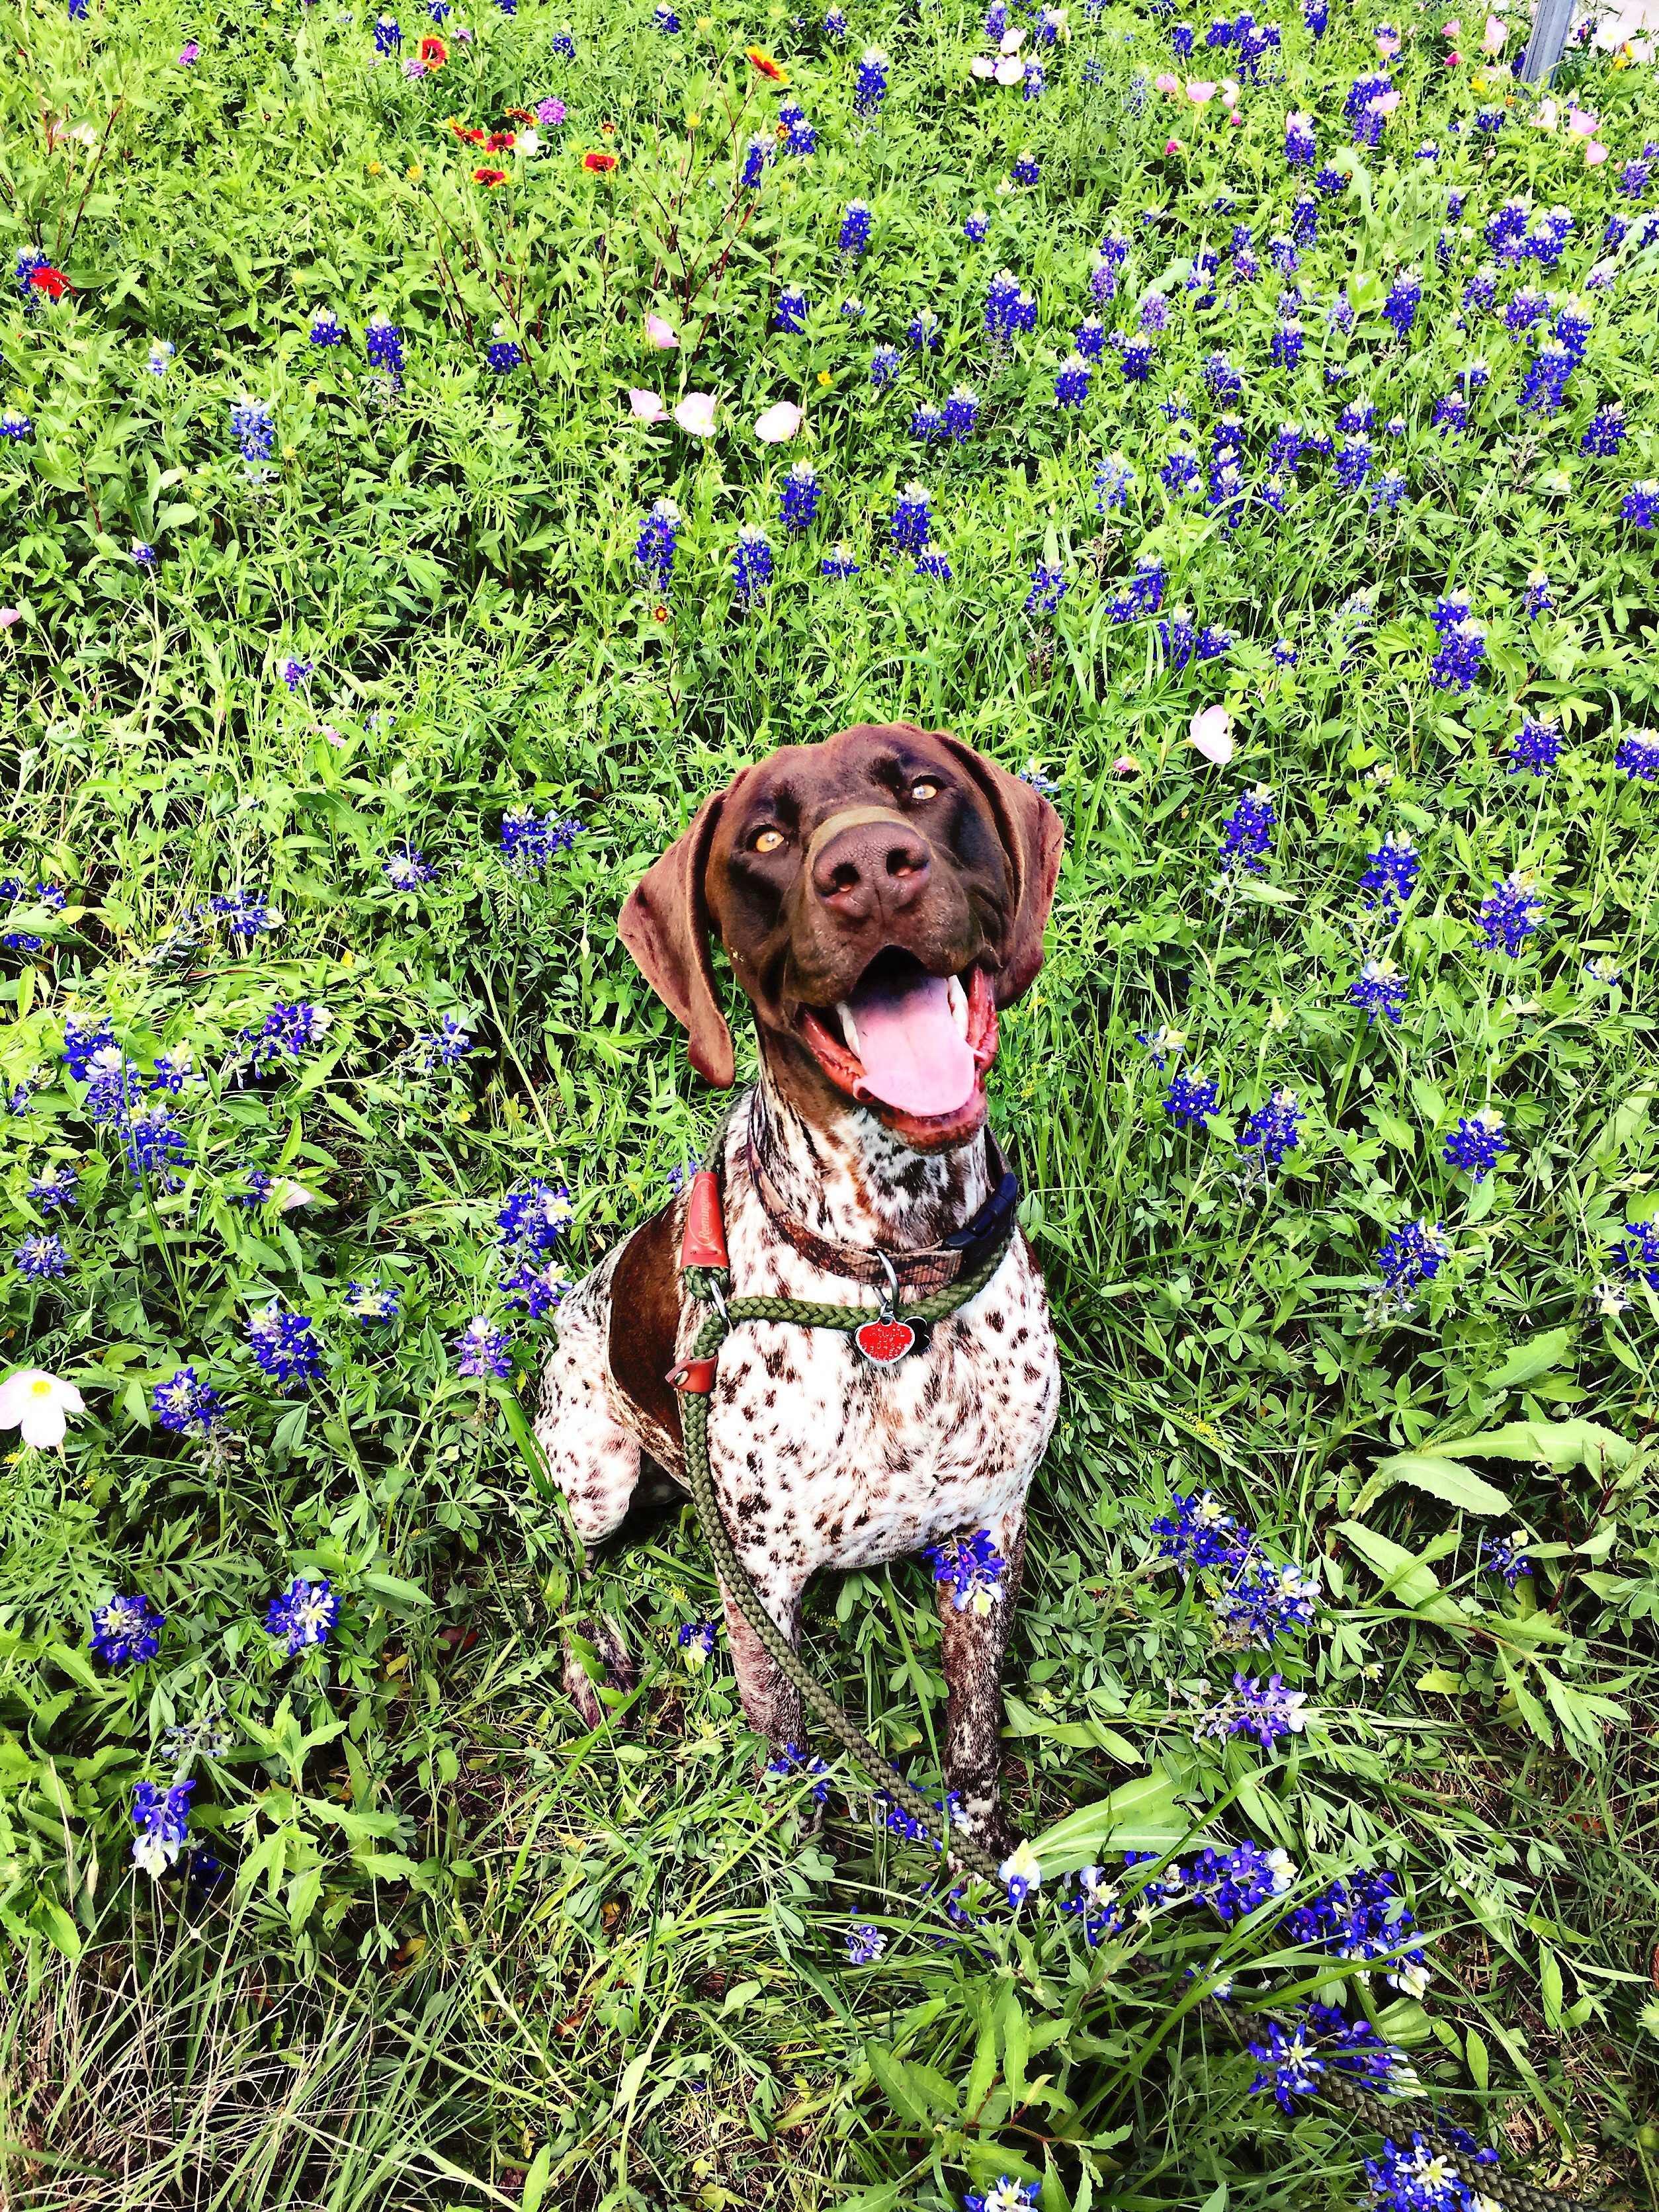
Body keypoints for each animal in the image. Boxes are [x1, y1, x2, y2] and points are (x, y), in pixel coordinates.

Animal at [539, 721, 1070, 1849]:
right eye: (768, 838)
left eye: (925, 786)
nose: (869, 868)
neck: (892, 1277)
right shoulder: (763, 1585)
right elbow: (784, 1756)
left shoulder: (988, 1533)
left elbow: (972, 1739)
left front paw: (985, 1857)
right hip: (596, 1476)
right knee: (568, 1565)